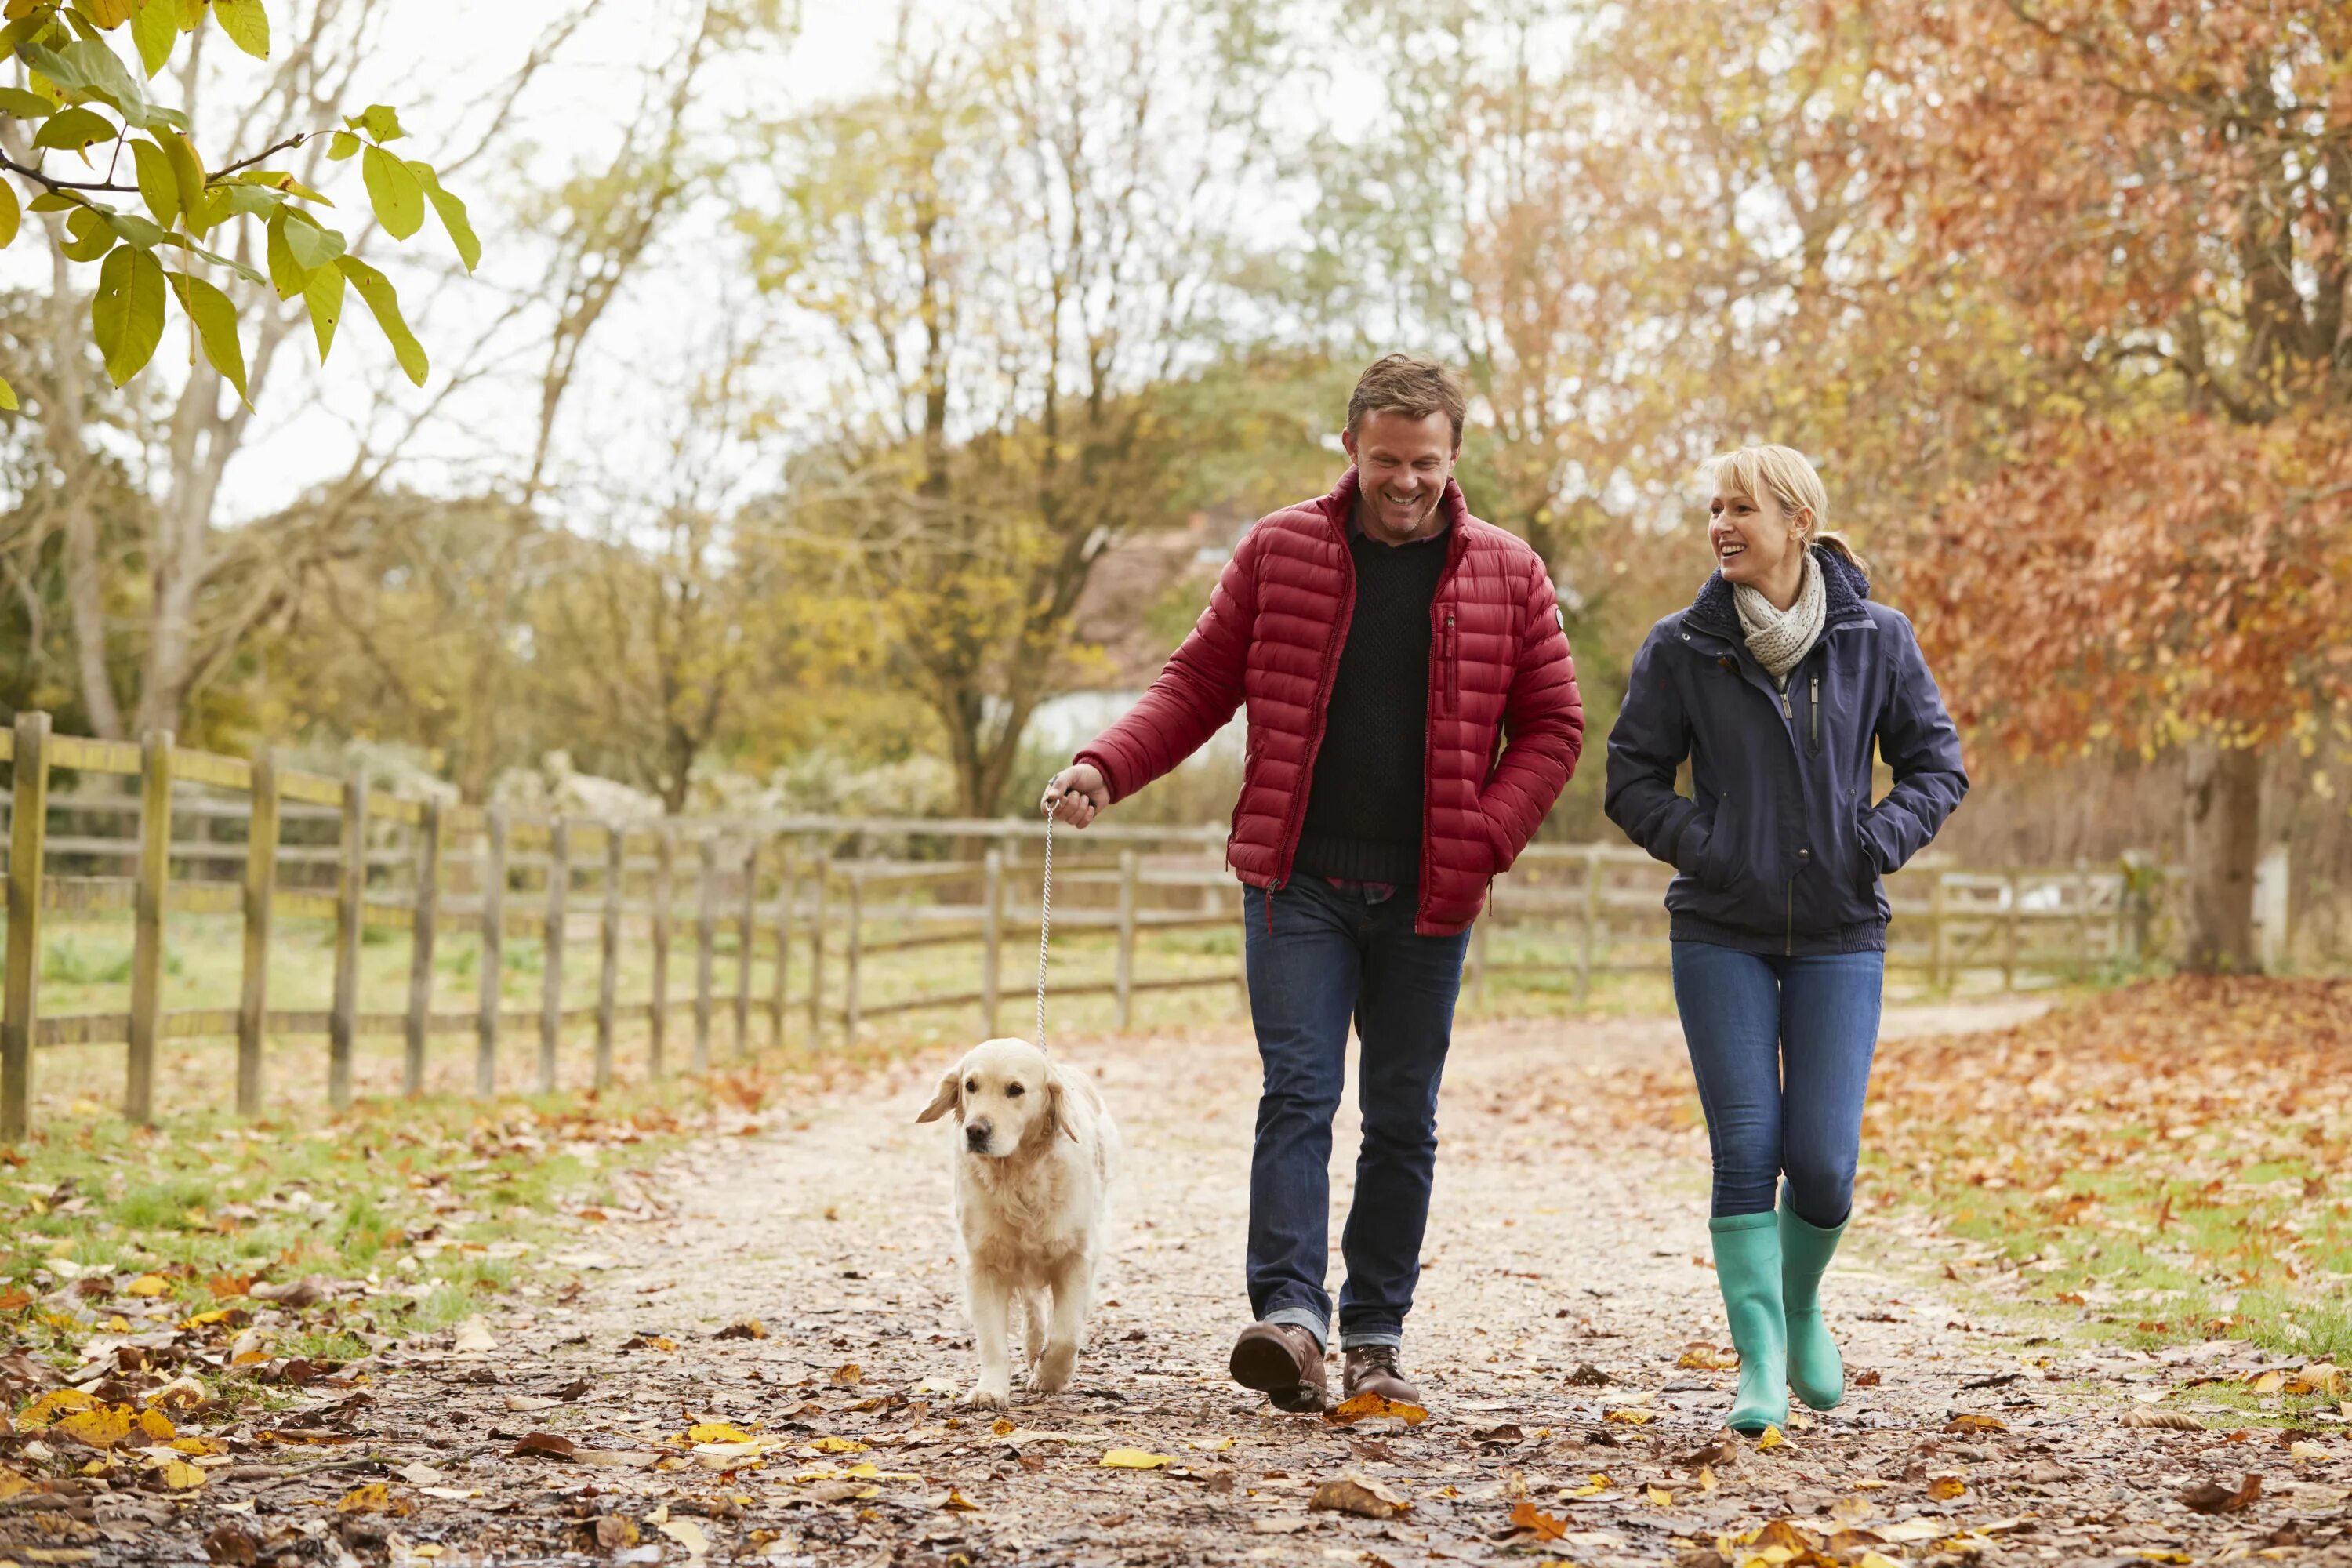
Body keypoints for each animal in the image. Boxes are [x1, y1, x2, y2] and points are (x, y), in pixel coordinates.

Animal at [913, 1044, 1115, 1410]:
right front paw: (990, 1389)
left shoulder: (1076, 1257)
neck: (1017, 1175)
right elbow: (992, 1341)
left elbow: (1066, 1335)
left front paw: (1051, 1376)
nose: (975, 1131)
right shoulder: (983, 1264)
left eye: (1015, 1090)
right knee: (1033, 1310)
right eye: (970, 1086)